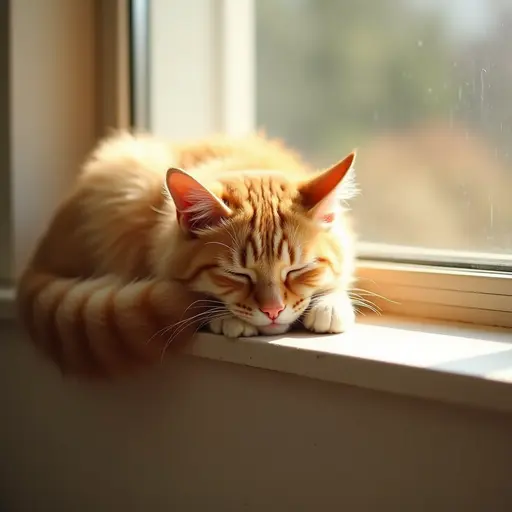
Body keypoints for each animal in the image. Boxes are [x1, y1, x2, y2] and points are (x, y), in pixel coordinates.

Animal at [18, 134, 358, 378]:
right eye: (237, 274)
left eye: (297, 270)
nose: (273, 311)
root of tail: (40, 253)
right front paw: (225, 318)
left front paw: (331, 303)